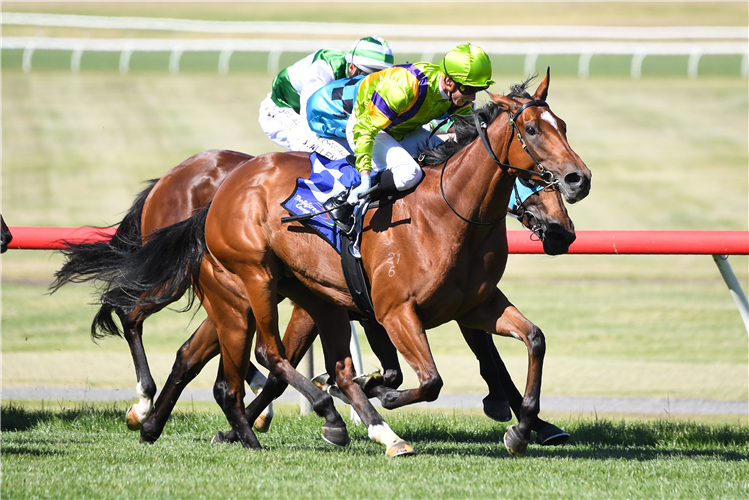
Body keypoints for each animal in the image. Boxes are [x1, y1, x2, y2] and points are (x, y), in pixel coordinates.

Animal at [105, 70, 592, 458]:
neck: (447, 215)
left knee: (197, 356)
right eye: (531, 129)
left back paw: (158, 422)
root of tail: (214, 189)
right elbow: (430, 380)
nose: (577, 181)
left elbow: (533, 340)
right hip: (253, 280)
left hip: (264, 298)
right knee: (237, 344)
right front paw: (380, 395)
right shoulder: (395, 311)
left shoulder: (475, 305)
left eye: (564, 127)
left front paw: (525, 427)